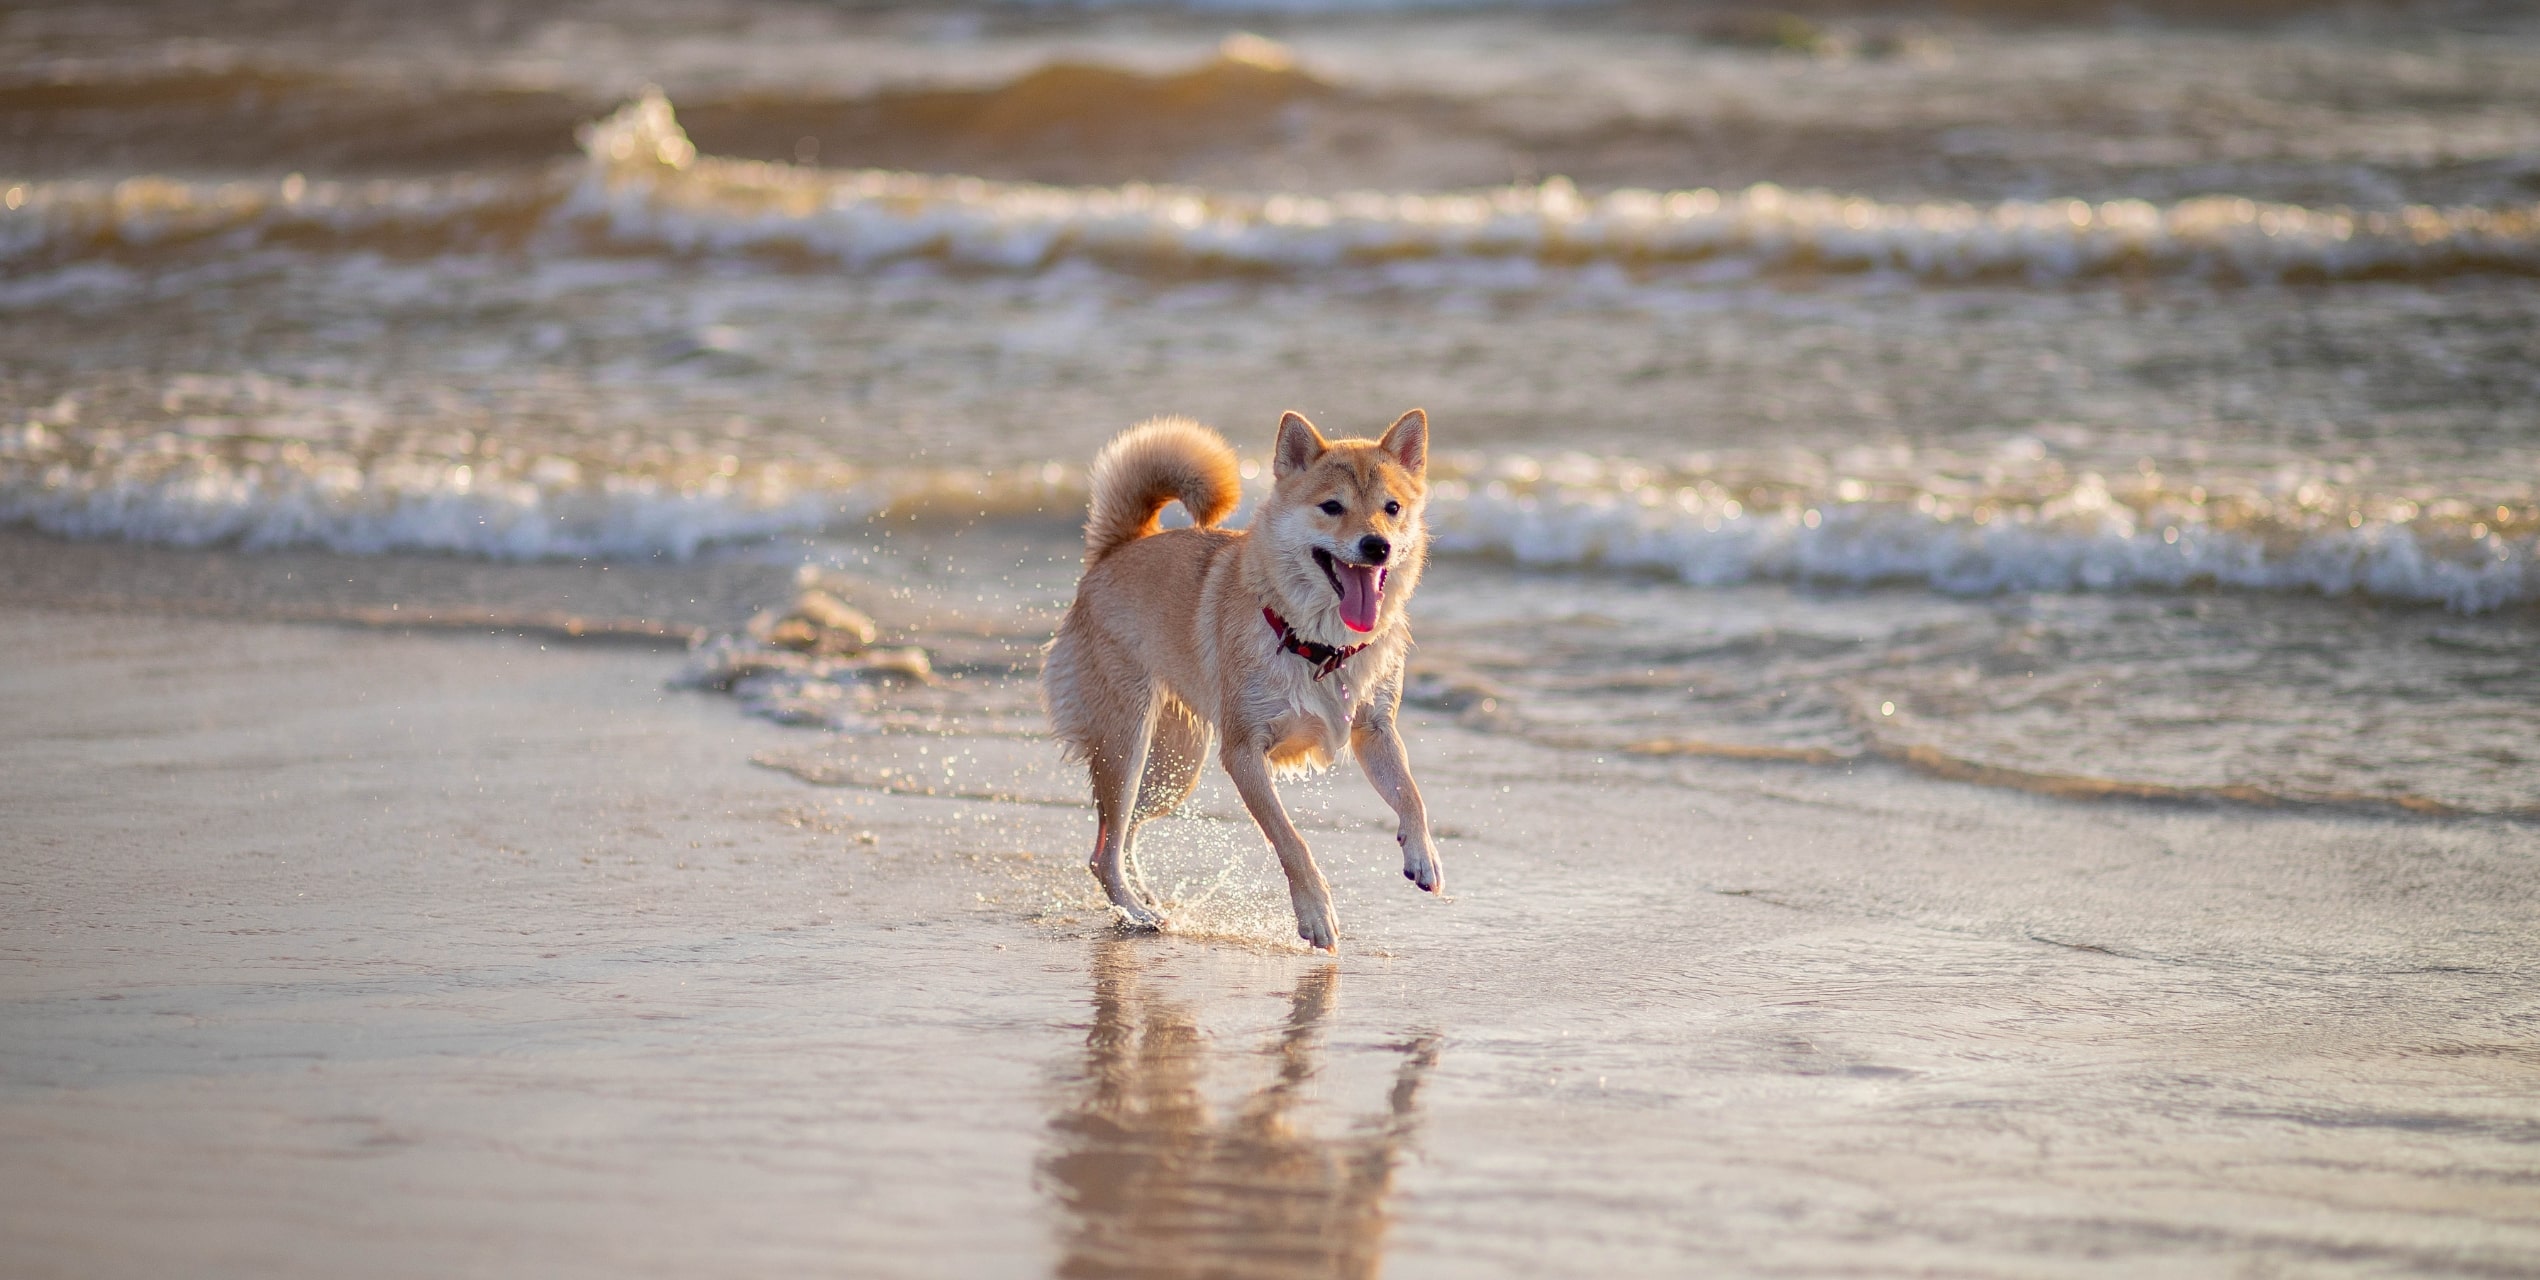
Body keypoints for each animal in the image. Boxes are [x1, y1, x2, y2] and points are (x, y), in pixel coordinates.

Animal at [1041, 408, 1442, 949]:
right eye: (1331, 507)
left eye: (1393, 507)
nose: (1376, 546)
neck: (1316, 642)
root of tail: (1117, 550)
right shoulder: (1244, 751)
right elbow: (1291, 841)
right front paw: (1316, 914)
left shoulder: (1375, 730)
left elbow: (1411, 795)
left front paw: (1423, 855)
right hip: (1126, 745)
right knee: (1103, 852)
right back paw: (1141, 915)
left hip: (1172, 769)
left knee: (1121, 837)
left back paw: (1145, 901)